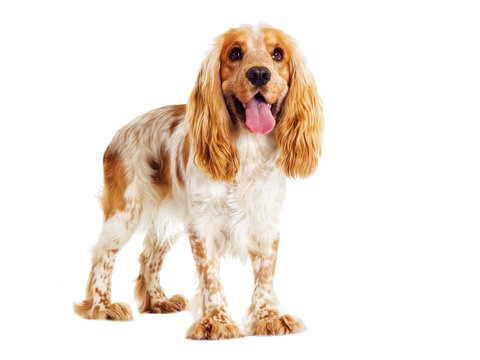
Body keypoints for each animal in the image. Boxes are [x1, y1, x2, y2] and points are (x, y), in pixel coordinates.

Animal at [74, 23, 322, 338]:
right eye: (235, 53)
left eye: (277, 54)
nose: (258, 73)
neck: (248, 150)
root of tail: (119, 133)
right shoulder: (202, 225)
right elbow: (211, 276)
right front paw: (217, 321)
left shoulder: (266, 221)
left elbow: (265, 274)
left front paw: (270, 317)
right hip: (125, 212)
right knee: (102, 255)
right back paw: (102, 307)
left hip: (166, 223)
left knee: (148, 257)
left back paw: (158, 302)